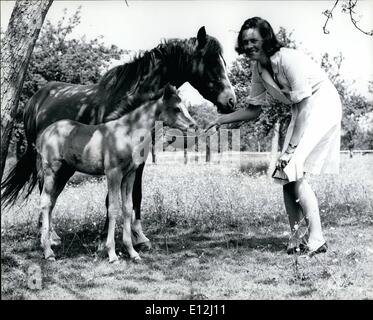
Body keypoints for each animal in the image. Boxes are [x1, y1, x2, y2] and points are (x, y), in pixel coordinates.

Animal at [36, 85, 196, 262]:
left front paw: (132, 252)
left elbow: (127, 207)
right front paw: (112, 253)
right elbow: (113, 208)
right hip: (52, 170)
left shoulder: (129, 174)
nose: (193, 125)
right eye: (176, 108)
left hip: (64, 173)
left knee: (51, 202)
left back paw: (50, 242)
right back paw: (48, 251)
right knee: (45, 201)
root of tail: (46, 132)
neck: (126, 134)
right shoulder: (113, 173)